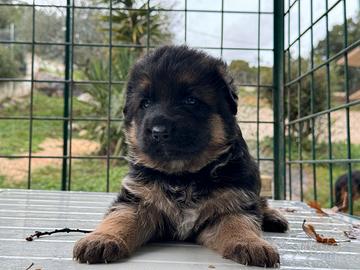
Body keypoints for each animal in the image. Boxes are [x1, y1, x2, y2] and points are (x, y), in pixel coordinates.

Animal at [73, 45, 290, 266]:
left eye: (191, 100)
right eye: (145, 103)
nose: (159, 131)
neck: (183, 176)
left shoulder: (233, 202)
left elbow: (240, 223)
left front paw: (252, 244)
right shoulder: (138, 200)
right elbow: (119, 218)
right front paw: (102, 239)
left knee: (259, 201)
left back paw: (272, 217)